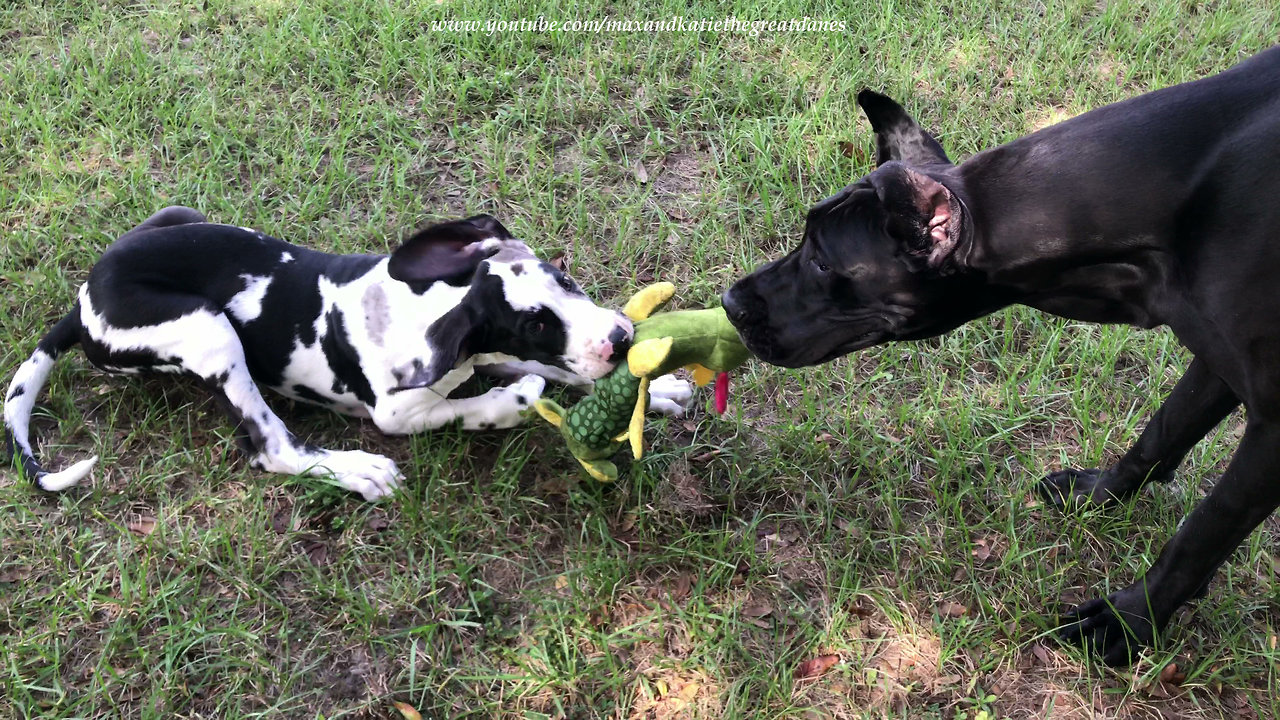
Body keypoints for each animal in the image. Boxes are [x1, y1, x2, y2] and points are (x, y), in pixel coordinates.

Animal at [5, 207, 696, 499]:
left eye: (565, 280)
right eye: (532, 323)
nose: (622, 339)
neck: (427, 301)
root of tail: (84, 299)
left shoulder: (475, 353)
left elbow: (560, 373)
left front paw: (657, 388)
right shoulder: (396, 410)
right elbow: (482, 401)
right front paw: (508, 405)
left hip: (184, 216)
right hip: (208, 330)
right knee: (271, 448)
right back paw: (356, 472)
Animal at [727, 47, 1274, 666]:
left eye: (822, 261)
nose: (728, 303)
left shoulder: (1272, 427)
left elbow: (1207, 526)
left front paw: (1131, 619)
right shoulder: (1216, 359)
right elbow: (1162, 432)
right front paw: (1100, 496)